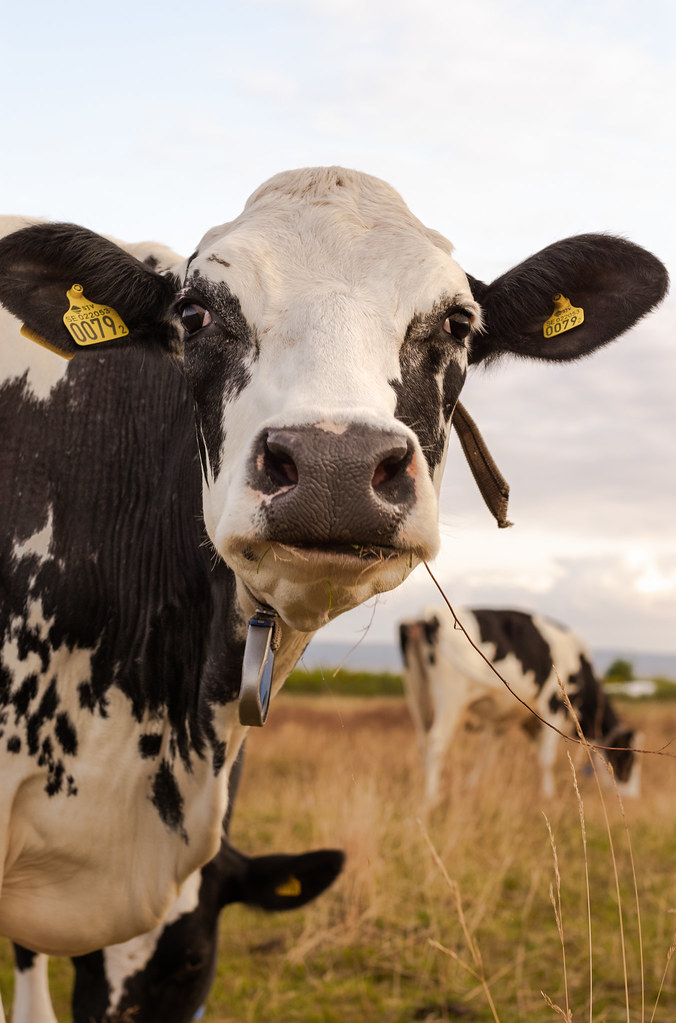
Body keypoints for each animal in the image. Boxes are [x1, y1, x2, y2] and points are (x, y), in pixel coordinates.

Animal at [399, 607, 642, 805]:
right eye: (627, 759)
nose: (632, 798)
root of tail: (429, 616)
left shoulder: (507, 722)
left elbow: (488, 755)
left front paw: (470, 786)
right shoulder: (553, 710)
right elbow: (545, 759)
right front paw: (548, 796)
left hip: (417, 695)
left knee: (423, 744)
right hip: (450, 697)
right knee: (436, 743)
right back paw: (431, 798)